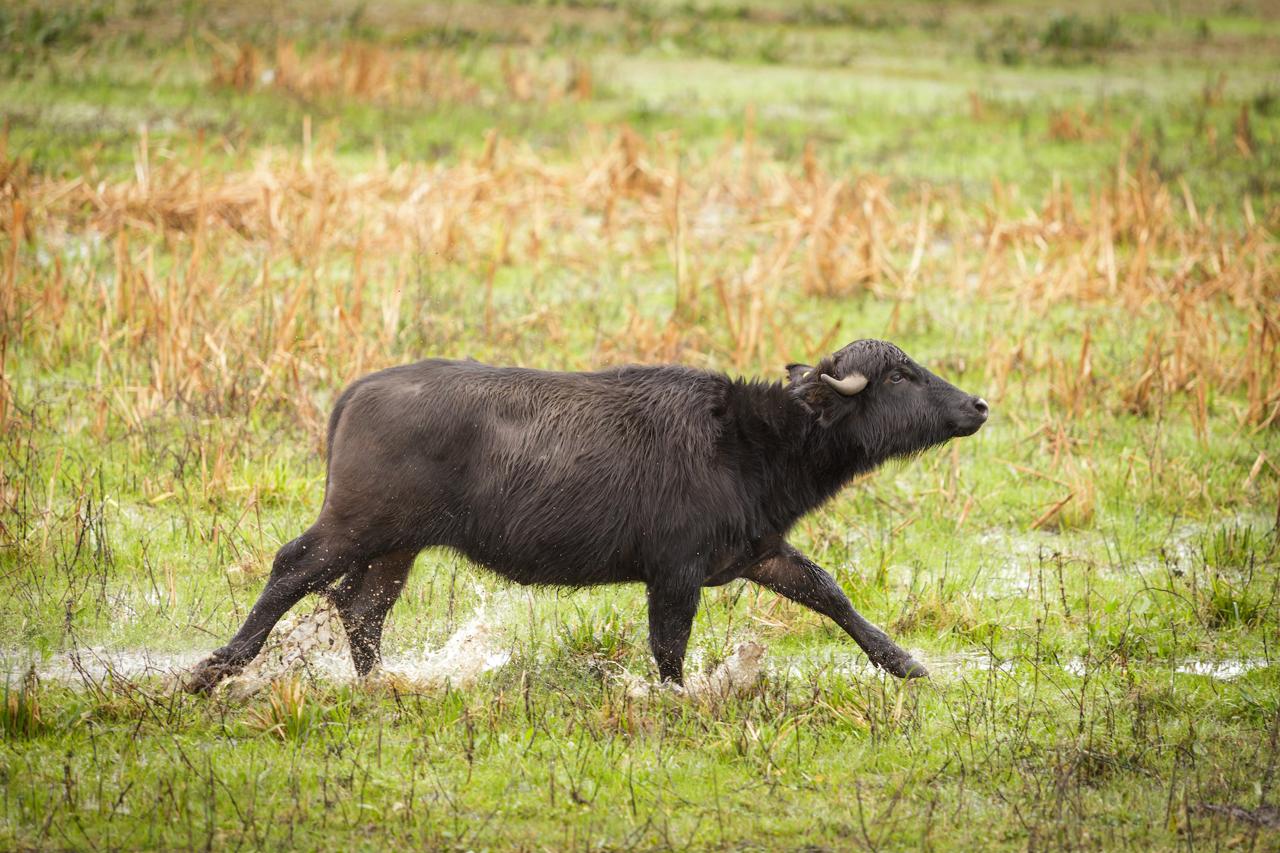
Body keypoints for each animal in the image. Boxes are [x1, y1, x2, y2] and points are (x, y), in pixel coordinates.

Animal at [186, 339, 988, 693]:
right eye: (900, 375)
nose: (978, 404)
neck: (751, 440)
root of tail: (359, 390)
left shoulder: (757, 552)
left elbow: (829, 592)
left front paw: (906, 664)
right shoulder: (675, 573)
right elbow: (669, 648)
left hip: (396, 545)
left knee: (362, 607)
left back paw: (379, 682)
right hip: (356, 524)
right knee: (293, 569)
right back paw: (211, 670)